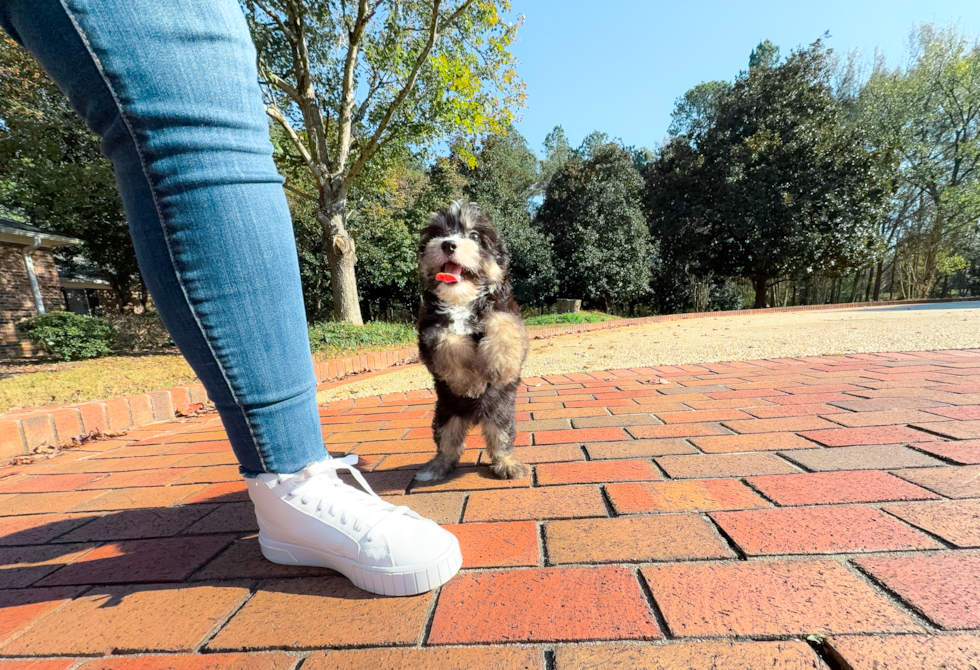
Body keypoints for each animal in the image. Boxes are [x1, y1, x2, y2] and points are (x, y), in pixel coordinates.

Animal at [414, 201, 528, 484]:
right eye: (438, 234)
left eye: (475, 236)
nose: (448, 244)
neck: (460, 301)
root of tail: (475, 418)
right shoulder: (430, 330)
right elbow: (448, 341)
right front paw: (470, 383)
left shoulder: (506, 310)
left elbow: (504, 325)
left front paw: (499, 367)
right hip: (445, 416)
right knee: (448, 447)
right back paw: (434, 468)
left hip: (501, 414)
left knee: (500, 442)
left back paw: (507, 464)